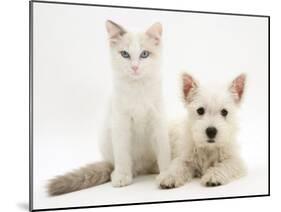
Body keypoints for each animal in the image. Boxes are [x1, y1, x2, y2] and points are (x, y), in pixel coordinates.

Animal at [47, 20, 170, 195]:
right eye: (125, 54)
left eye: (144, 54)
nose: (135, 67)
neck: (137, 88)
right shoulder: (120, 123)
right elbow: (122, 154)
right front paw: (122, 176)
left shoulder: (158, 121)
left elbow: (164, 152)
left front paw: (167, 174)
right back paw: (120, 173)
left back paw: (155, 170)